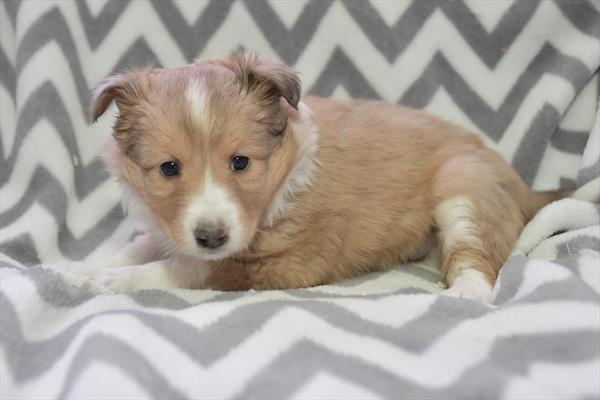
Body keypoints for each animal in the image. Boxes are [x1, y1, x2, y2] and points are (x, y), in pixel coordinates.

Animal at [77, 54, 568, 304]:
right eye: (169, 169)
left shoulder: (284, 263)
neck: (284, 173)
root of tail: (523, 186)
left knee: (477, 255)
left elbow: (185, 266)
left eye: (241, 162)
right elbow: (143, 245)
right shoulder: (171, 225)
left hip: (464, 188)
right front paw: (86, 266)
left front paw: (116, 281)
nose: (212, 237)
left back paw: (465, 292)